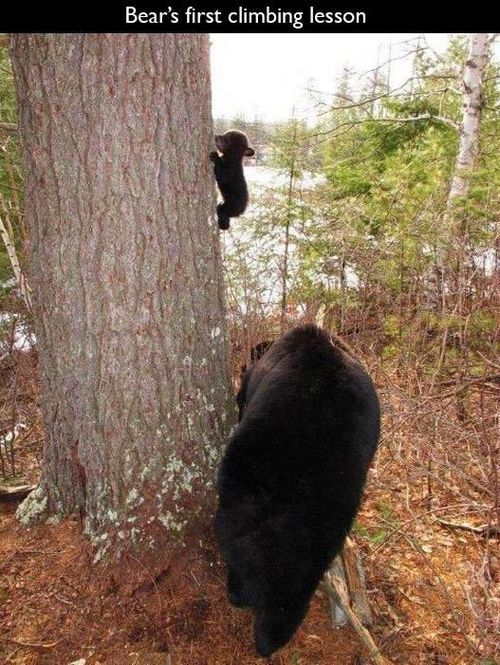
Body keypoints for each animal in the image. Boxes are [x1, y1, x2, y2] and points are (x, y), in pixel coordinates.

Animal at [214, 324, 378, 656]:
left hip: (243, 493)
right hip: (330, 519)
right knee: (297, 583)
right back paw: (273, 632)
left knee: (236, 545)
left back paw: (238, 593)